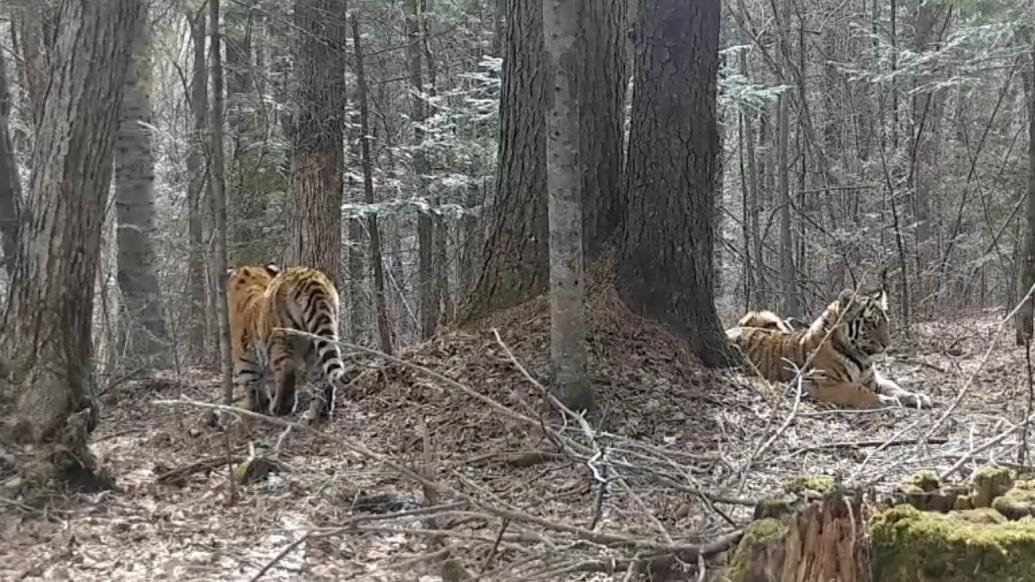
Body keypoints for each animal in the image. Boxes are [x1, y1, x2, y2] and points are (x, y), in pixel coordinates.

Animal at [724, 287, 935, 408]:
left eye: (885, 322)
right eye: (870, 323)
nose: (887, 344)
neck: (862, 359)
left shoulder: (873, 379)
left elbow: (894, 387)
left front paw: (917, 397)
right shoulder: (824, 384)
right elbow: (857, 390)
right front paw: (885, 401)